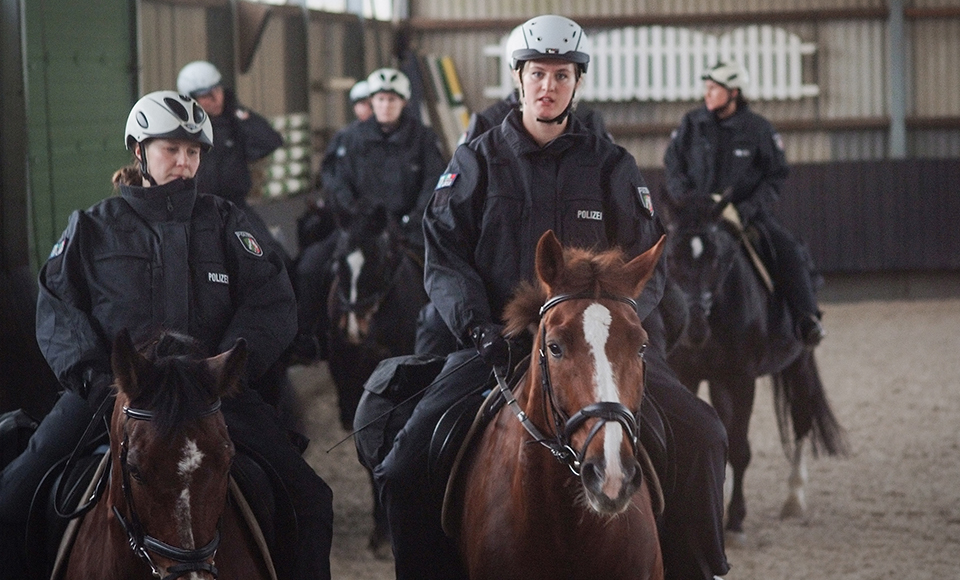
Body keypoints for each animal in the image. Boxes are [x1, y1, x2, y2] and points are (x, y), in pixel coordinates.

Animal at [664, 196, 844, 544]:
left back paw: (794, 500)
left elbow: (740, 449)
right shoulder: (688, 375)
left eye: (718, 260)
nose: (694, 328)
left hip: (799, 363)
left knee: (801, 424)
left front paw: (735, 520)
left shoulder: (741, 379)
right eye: (673, 257)